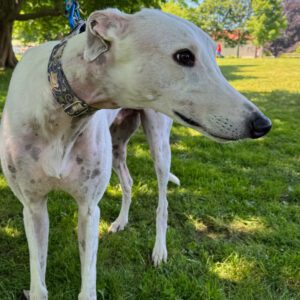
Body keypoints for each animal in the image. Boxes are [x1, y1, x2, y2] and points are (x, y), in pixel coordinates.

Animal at [0, 8, 272, 298]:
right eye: (184, 56)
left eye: (214, 53)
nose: (262, 124)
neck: (59, 106)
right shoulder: (33, 207)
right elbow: (38, 284)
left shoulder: (88, 208)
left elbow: (88, 286)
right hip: (117, 145)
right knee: (129, 182)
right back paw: (121, 221)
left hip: (159, 146)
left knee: (162, 204)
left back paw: (159, 250)